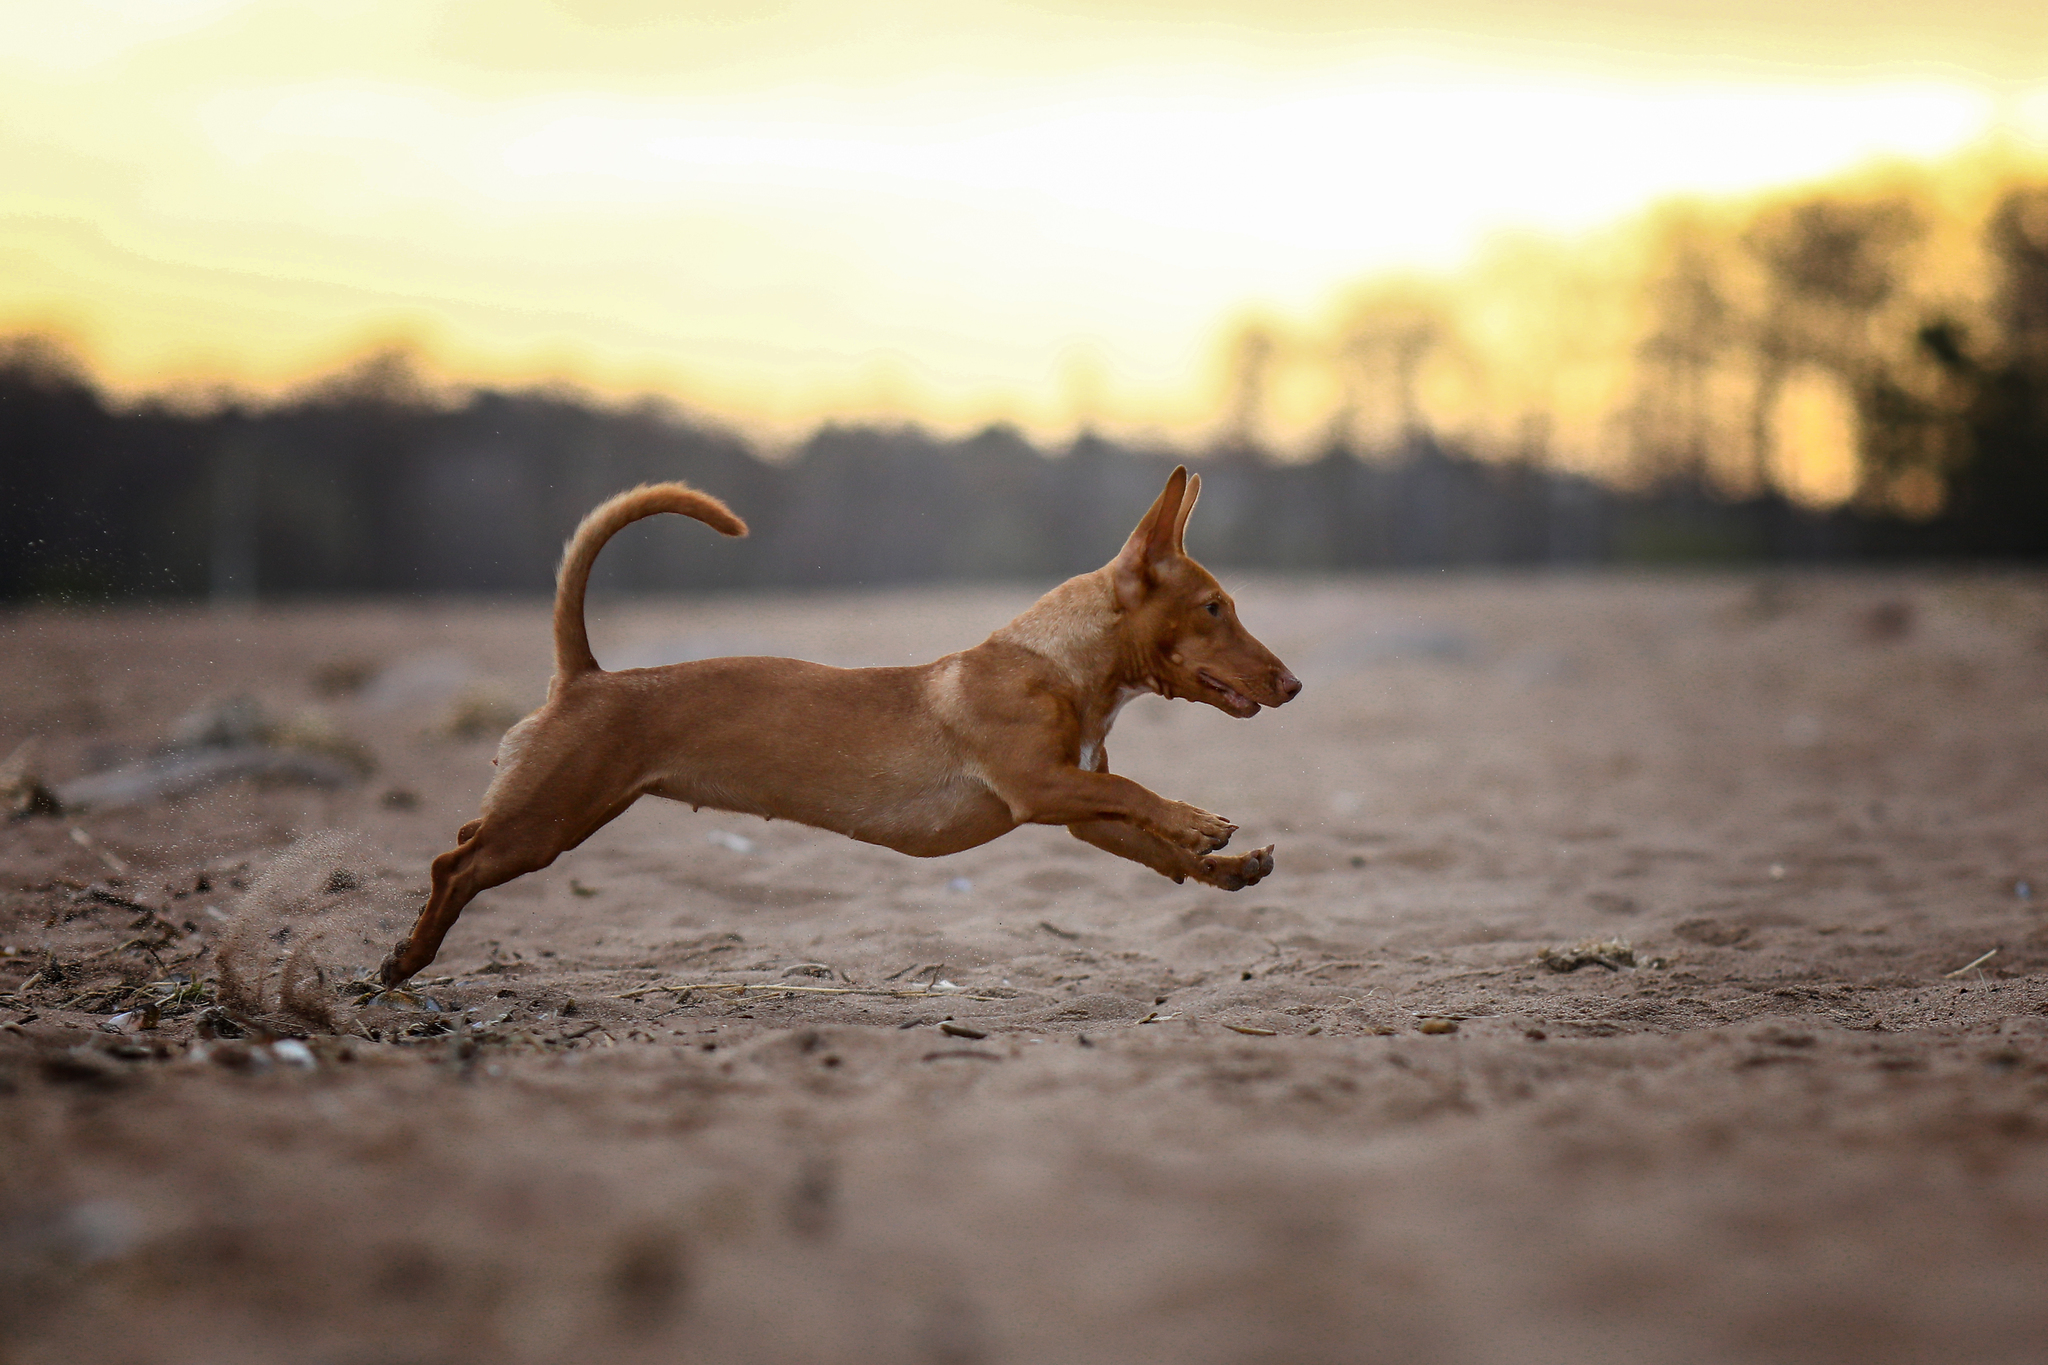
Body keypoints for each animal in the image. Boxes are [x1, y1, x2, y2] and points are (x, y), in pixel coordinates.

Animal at [378, 466, 1302, 982]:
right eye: (1215, 608)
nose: (1293, 683)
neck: (1058, 660)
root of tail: (588, 675)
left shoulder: (1079, 804)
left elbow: (1155, 845)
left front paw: (1225, 866)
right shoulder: (1042, 787)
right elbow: (1149, 795)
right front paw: (1201, 820)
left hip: (560, 806)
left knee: (462, 840)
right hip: (550, 817)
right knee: (452, 861)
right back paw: (406, 958)